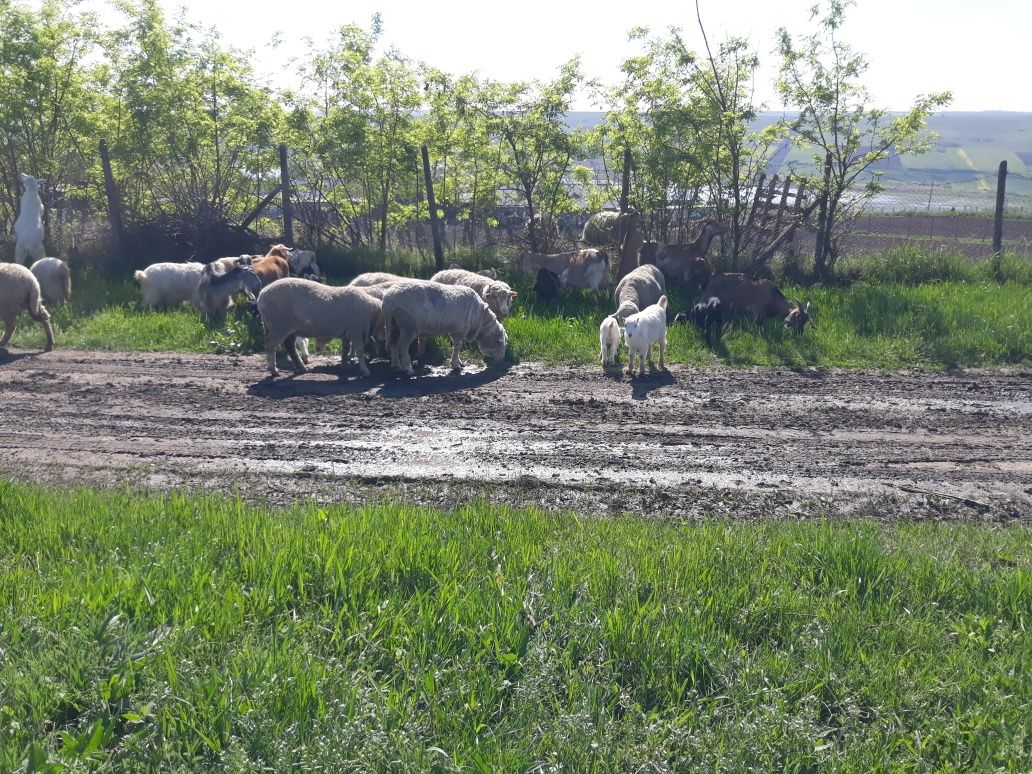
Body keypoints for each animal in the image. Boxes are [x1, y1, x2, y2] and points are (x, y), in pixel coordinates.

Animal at [379, 282, 507, 379]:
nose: (501, 360)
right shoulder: (460, 331)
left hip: (394, 324)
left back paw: (397, 365)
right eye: (501, 344)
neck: (480, 319)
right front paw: (456, 364)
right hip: (408, 325)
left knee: (394, 343)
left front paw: (459, 362)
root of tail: (387, 300)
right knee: (403, 345)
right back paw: (408, 368)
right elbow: (458, 346)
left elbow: (457, 346)